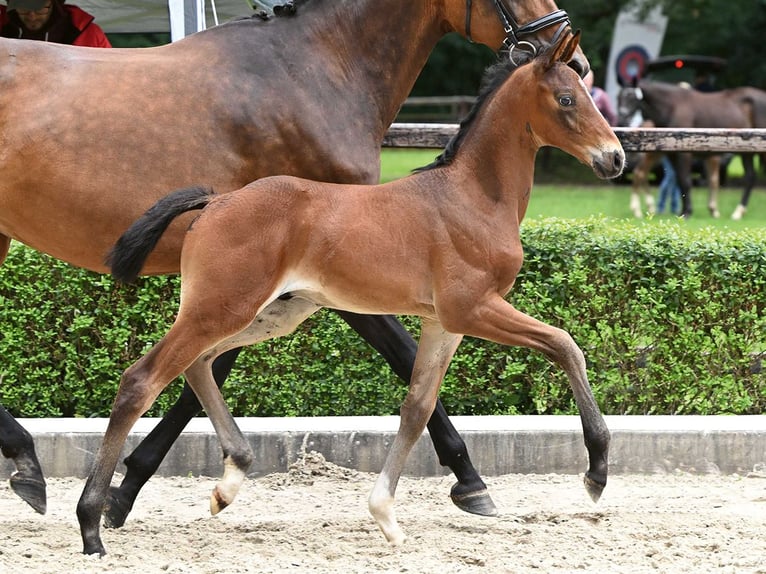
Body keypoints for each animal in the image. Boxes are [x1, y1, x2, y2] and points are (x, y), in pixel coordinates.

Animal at [0, 0, 588, 520]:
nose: (576, 57)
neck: (315, 72)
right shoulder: (332, 275)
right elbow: (403, 357)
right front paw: (471, 480)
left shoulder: (293, 282)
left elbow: (209, 370)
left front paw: (134, 487)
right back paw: (29, 466)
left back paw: (28, 466)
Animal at [616, 82, 766, 222]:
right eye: (619, 96)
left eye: (632, 97)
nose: (622, 115)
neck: (673, 106)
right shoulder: (673, 154)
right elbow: (683, 181)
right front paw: (686, 211)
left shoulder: (686, 154)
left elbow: (690, 180)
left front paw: (690, 211)